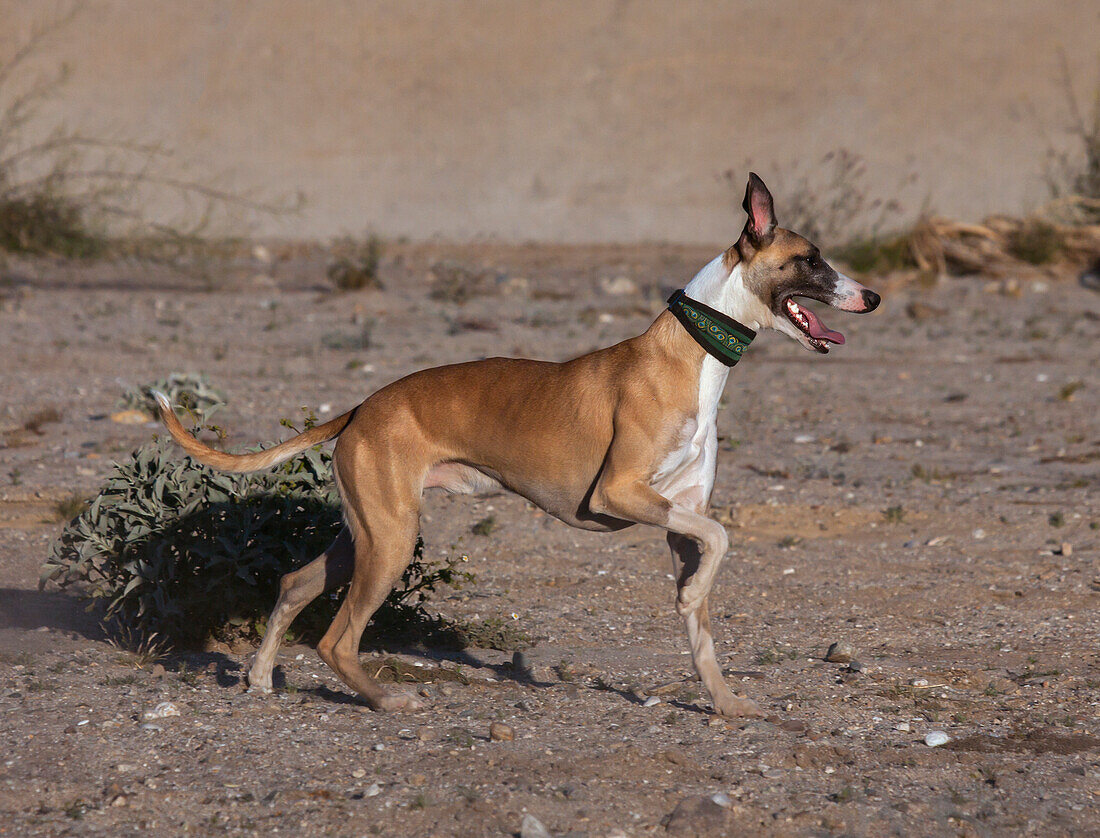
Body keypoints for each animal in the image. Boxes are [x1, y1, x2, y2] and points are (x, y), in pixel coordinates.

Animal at [155, 172, 880, 717]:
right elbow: (723, 537)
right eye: (812, 257)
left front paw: (725, 699)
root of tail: (362, 406)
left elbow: (704, 611)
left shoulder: (681, 520)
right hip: (390, 541)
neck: (692, 351)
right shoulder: (620, 493)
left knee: (293, 583)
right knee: (336, 638)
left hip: (365, 535)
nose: (872, 296)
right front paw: (694, 602)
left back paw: (258, 678)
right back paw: (388, 702)